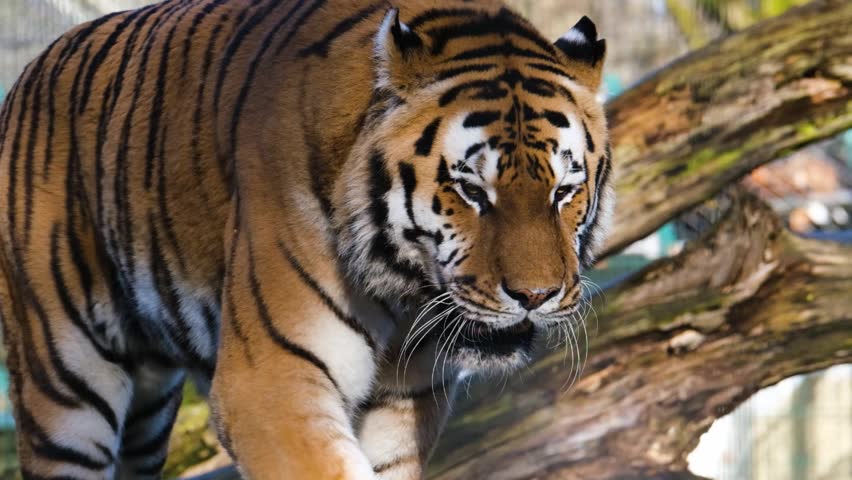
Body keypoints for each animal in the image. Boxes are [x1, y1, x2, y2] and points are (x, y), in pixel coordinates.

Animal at [0, 0, 613, 478]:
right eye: (470, 190)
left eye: (563, 191)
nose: (534, 297)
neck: (404, 293)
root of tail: (33, 69)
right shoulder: (269, 382)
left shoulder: (403, 400)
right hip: (66, 387)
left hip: (149, 405)